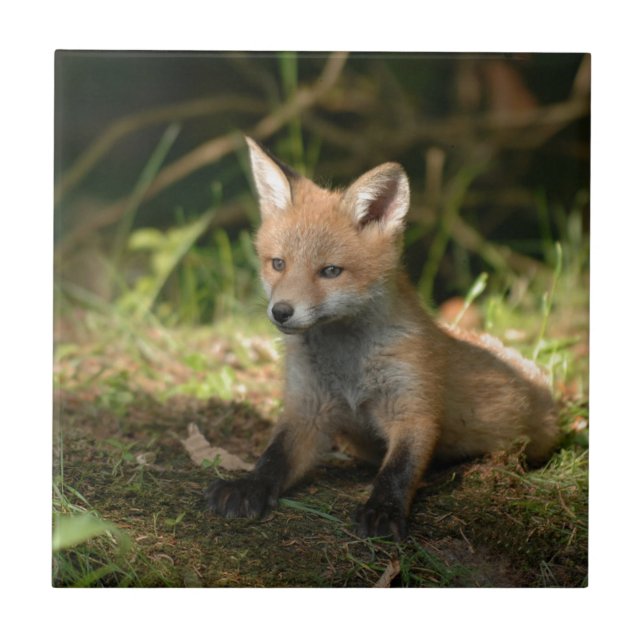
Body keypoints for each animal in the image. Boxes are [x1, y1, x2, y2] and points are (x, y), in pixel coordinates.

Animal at [205, 137, 559, 540]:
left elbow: (398, 470)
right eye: (278, 264)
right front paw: (247, 486)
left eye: (330, 271)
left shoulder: (413, 407)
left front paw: (383, 510)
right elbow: (273, 457)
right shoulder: (307, 409)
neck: (348, 365)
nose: (281, 312)